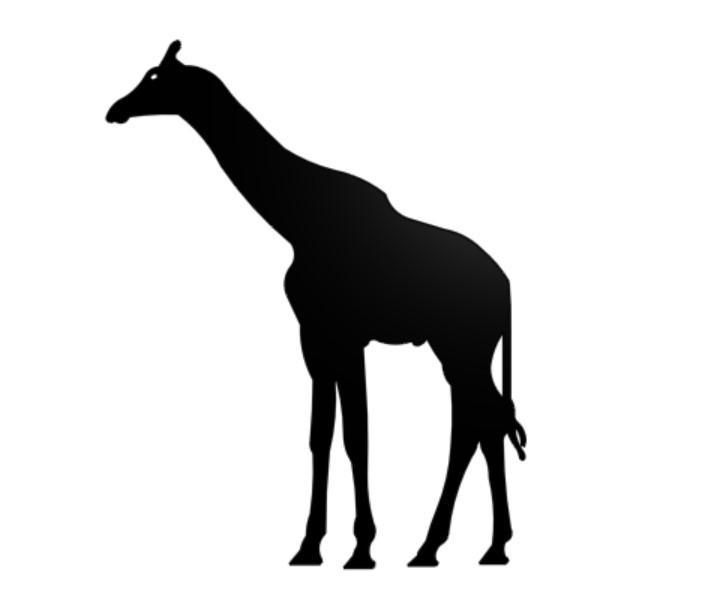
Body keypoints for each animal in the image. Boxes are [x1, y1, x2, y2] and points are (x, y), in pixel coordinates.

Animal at [106, 41, 526, 568]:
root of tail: (505, 286)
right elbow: (321, 435)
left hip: (462, 347)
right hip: (458, 350)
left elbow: (356, 437)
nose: (115, 110)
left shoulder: (346, 336)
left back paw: (458, 545)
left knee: (481, 421)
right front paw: (311, 545)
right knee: (484, 422)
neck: (297, 219)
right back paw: (470, 546)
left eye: (155, 78)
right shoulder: (316, 337)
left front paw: (362, 547)